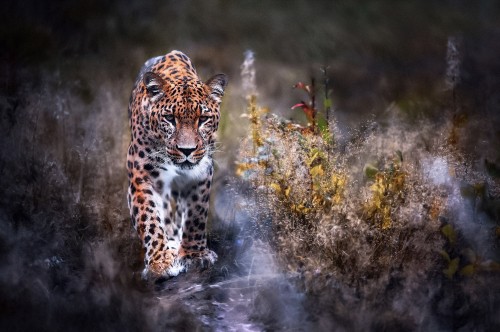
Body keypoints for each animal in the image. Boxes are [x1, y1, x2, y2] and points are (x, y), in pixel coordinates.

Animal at [126, 50, 228, 278]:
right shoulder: (141, 177)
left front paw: (194, 255)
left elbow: (196, 215)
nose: (187, 150)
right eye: (170, 118)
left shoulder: (201, 174)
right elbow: (149, 219)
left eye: (203, 119)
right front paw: (159, 263)